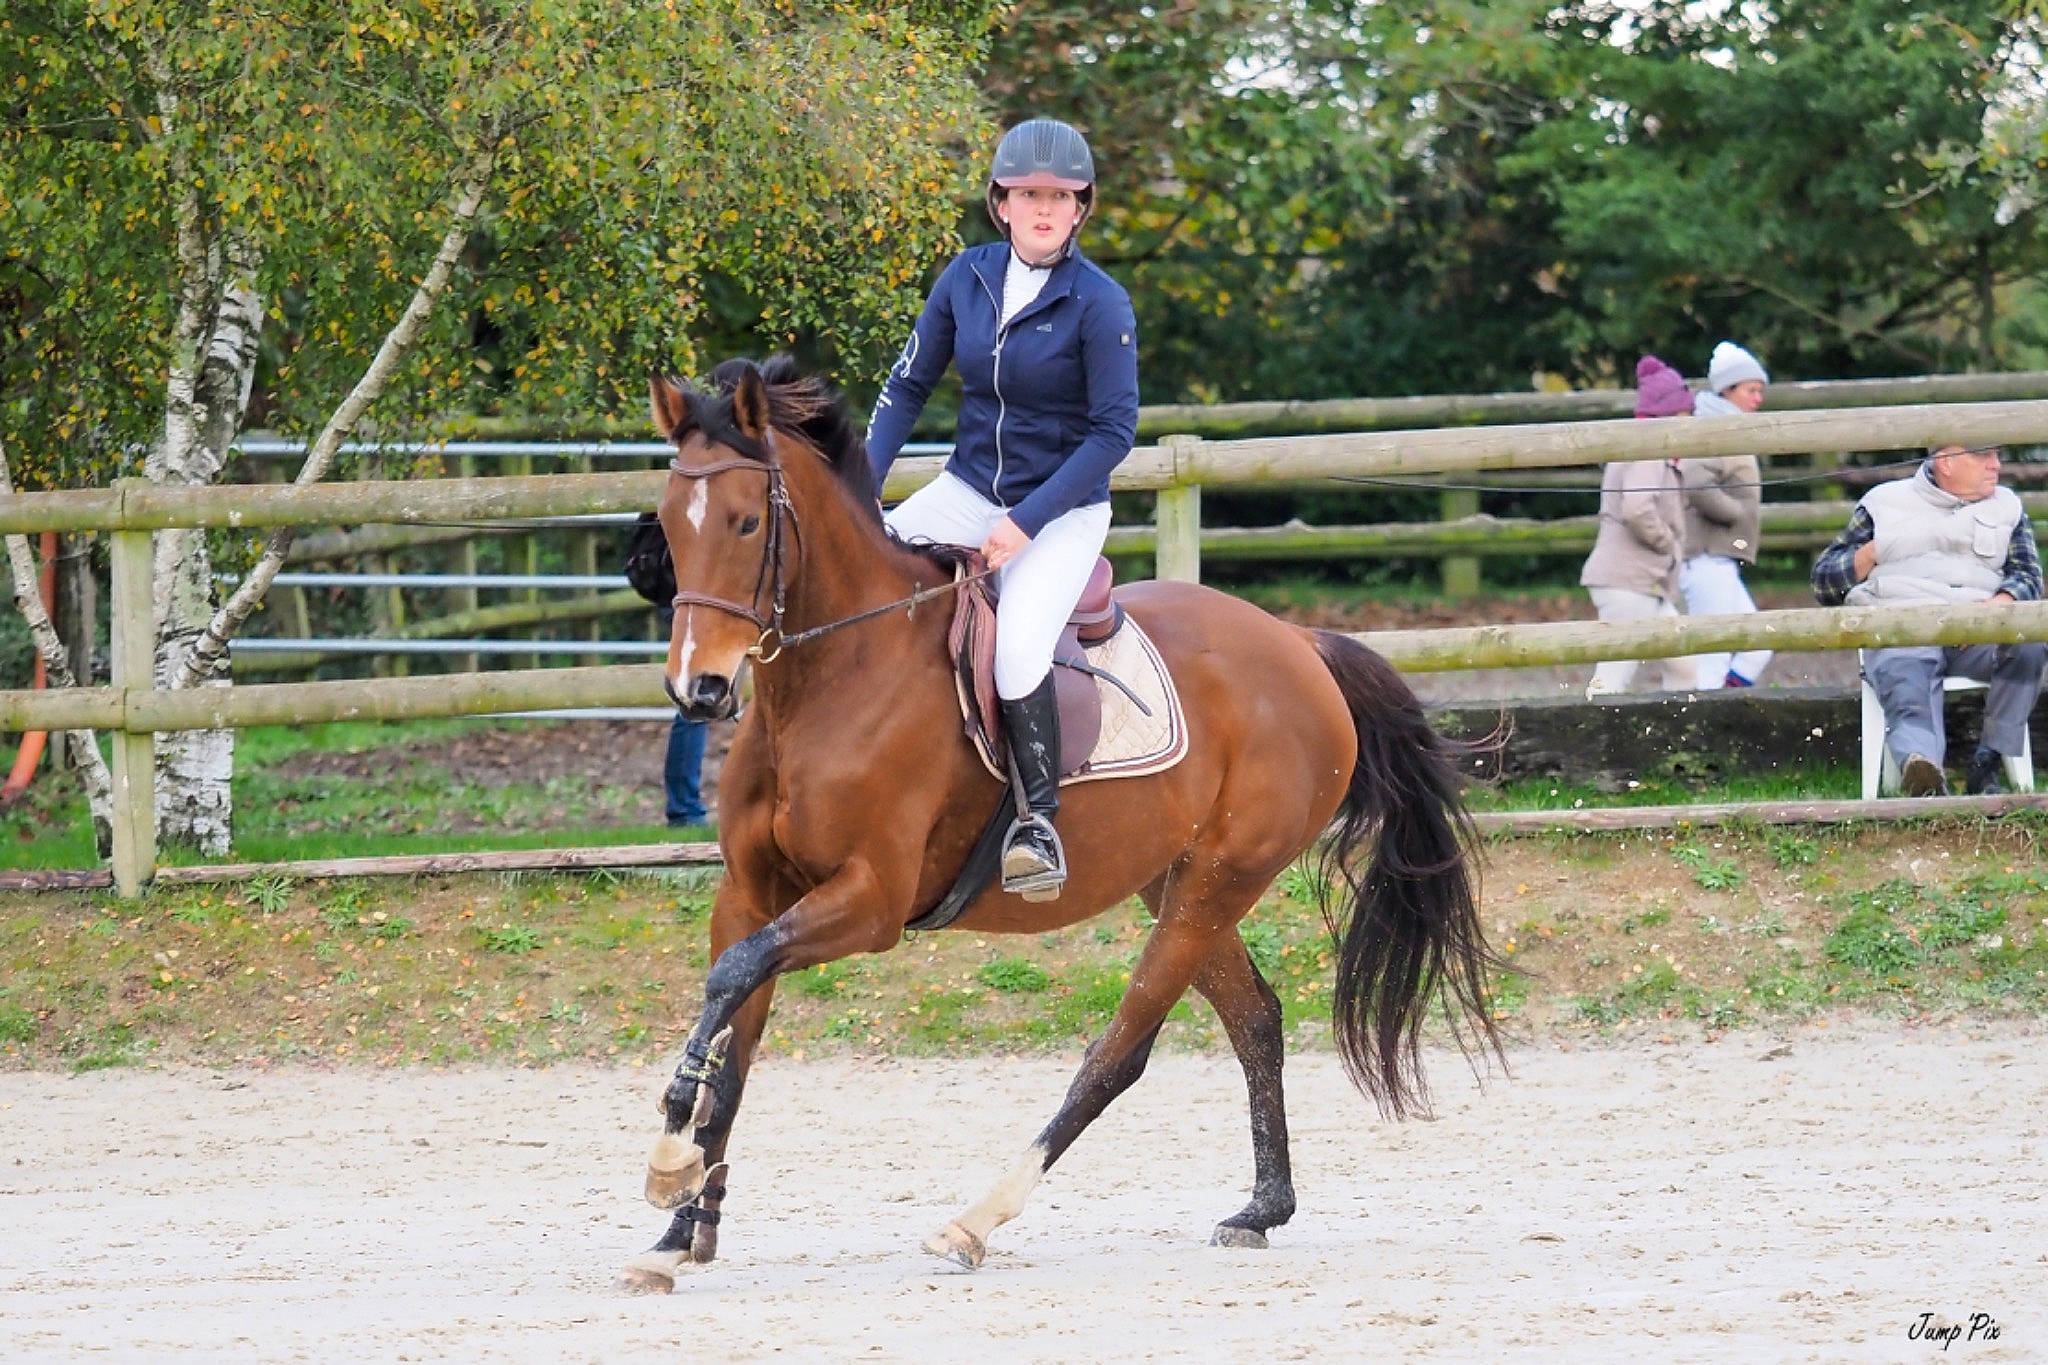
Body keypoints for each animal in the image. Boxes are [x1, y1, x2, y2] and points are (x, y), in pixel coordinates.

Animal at [619, 356, 1502, 1292]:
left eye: (748, 522)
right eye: (670, 524)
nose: (700, 689)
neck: (830, 680)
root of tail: (1300, 644)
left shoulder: (871, 901)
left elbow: (731, 985)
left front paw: (670, 1158)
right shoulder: (752, 895)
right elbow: (734, 1025)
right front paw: (680, 1226)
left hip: (1218, 879)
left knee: (1121, 1052)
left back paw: (977, 1219)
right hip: (1175, 880)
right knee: (1256, 1018)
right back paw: (1263, 1208)